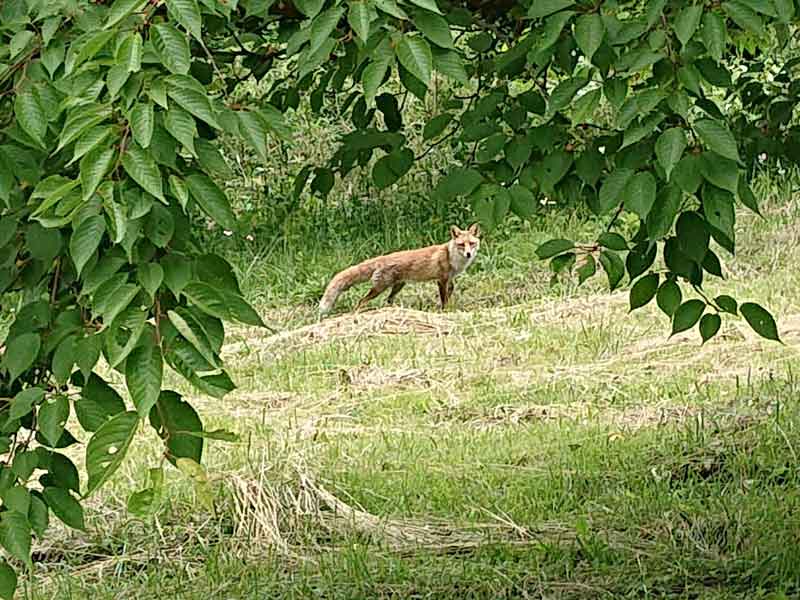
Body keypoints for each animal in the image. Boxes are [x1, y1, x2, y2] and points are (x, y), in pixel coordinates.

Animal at [318, 224, 482, 316]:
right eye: (461, 244)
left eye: (472, 243)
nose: (469, 254)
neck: (451, 256)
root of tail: (382, 258)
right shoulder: (441, 280)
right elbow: (444, 299)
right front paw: (445, 311)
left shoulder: (449, 279)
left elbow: (451, 291)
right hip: (380, 287)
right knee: (361, 301)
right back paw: (356, 313)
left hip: (398, 286)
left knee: (388, 300)